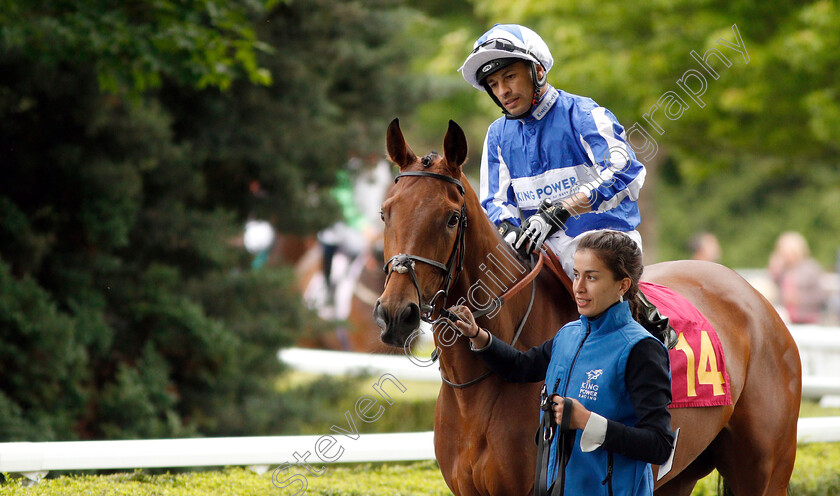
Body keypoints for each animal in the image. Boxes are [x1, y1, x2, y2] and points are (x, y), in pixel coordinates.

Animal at [374, 118, 800, 494]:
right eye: (384, 212)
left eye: (450, 217)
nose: (396, 314)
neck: (474, 392)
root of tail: (756, 300)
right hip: (678, 476)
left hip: (766, 472)